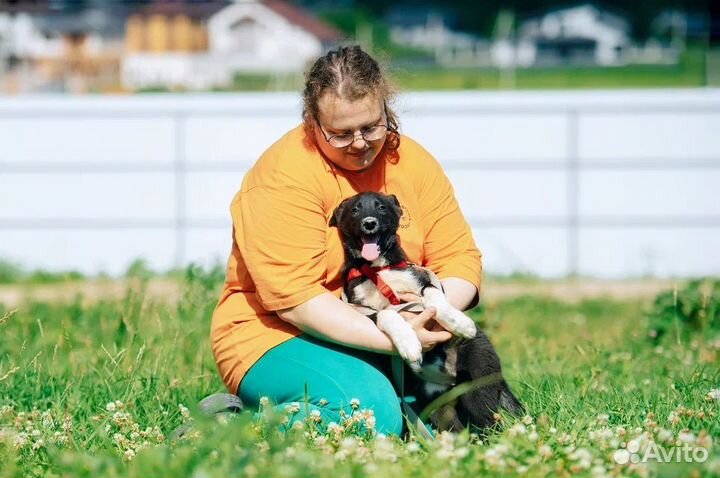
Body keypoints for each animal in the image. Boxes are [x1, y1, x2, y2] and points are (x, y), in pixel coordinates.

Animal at [330, 192, 524, 432]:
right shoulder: (360, 309)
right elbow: (386, 314)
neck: (377, 269)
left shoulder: (422, 280)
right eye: (355, 210)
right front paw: (408, 343)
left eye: (381, 207)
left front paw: (459, 322)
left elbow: (434, 297)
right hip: (440, 408)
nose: (369, 223)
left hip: (477, 387)